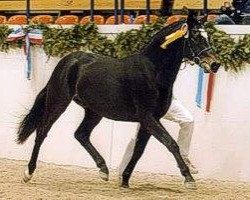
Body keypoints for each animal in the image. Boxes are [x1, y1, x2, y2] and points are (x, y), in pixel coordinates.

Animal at [17, 11, 220, 190]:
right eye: (196, 36)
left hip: (94, 111)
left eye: (207, 36)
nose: (215, 64)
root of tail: (68, 60)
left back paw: (103, 170)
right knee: (42, 132)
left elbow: (139, 150)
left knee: (81, 134)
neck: (152, 71)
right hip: (58, 102)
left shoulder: (149, 120)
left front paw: (125, 180)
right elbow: (171, 143)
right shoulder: (148, 117)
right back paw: (28, 173)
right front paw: (189, 179)